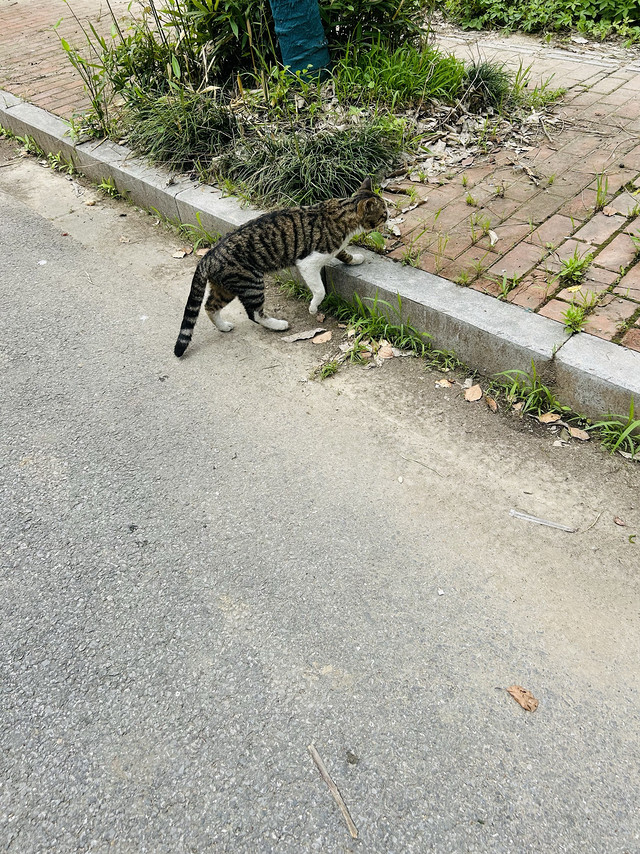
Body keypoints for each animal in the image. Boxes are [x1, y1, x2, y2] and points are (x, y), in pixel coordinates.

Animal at [172, 178, 388, 358]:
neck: (342, 212)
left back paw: (223, 326)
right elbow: (320, 290)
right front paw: (313, 307)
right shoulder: (308, 263)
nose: (390, 216)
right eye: (384, 213)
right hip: (251, 283)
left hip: (225, 288)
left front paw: (356, 259)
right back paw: (277, 325)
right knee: (254, 314)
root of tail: (208, 256)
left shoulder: (335, 248)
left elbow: (344, 253)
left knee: (209, 306)